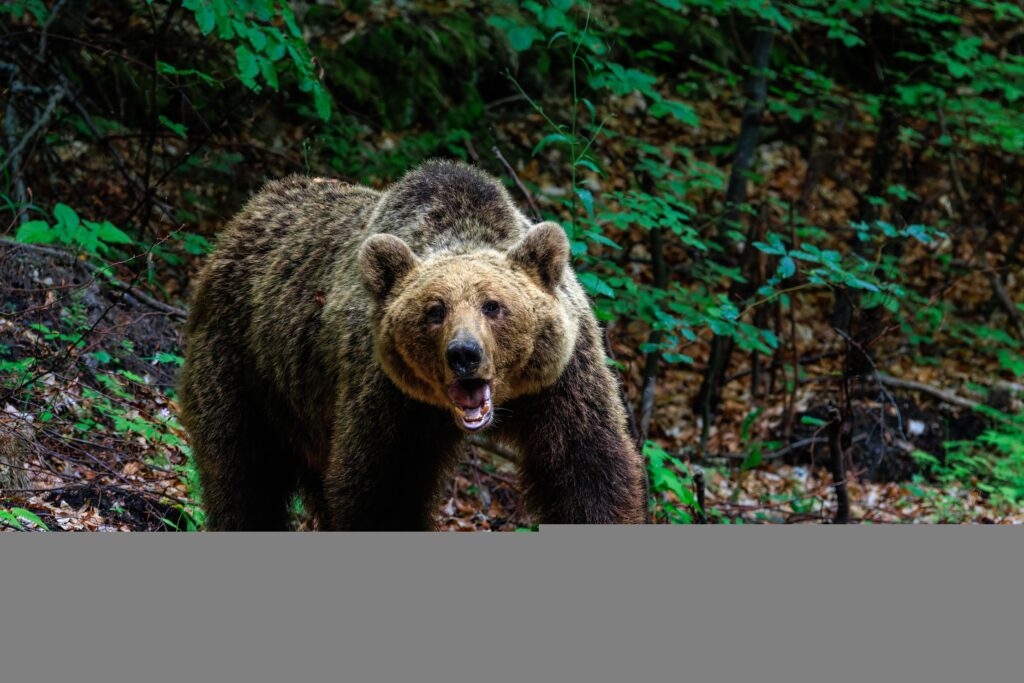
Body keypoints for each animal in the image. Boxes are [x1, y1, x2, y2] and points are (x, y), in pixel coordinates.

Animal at [179, 158, 643, 528]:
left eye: (494, 306)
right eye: (435, 310)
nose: (464, 354)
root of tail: (246, 213)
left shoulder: (561, 381)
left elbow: (588, 472)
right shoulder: (389, 397)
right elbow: (382, 492)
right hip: (244, 367)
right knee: (242, 471)